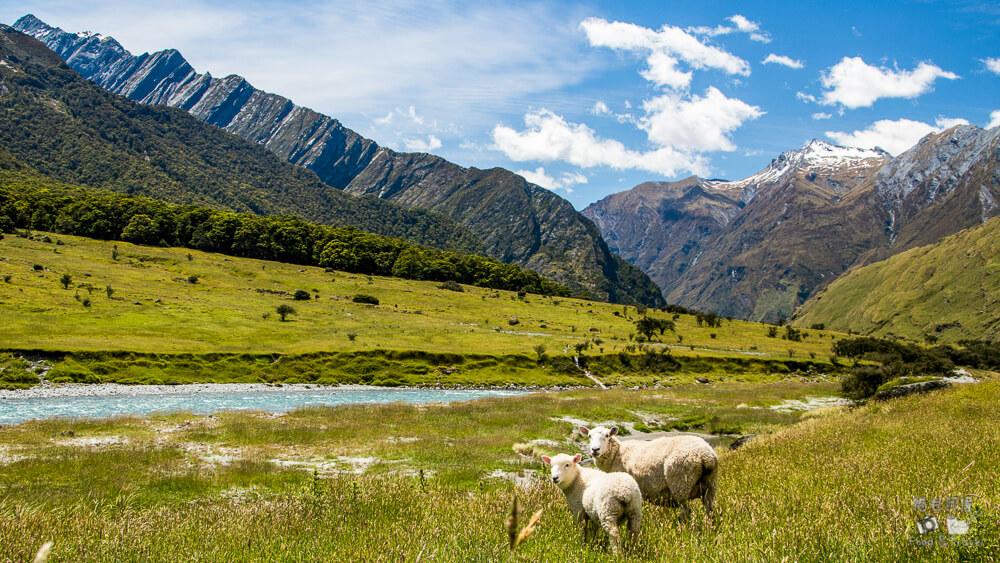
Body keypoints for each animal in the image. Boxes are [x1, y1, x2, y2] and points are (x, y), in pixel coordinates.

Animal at [580, 428, 720, 520]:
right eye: (589, 436)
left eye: (607, 435)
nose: (595, 449)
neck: (617, 454)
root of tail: (705, 456)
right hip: (710, 484)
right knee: (709, 508)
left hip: (681, 482)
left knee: (686, 510)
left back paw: (682, 528)